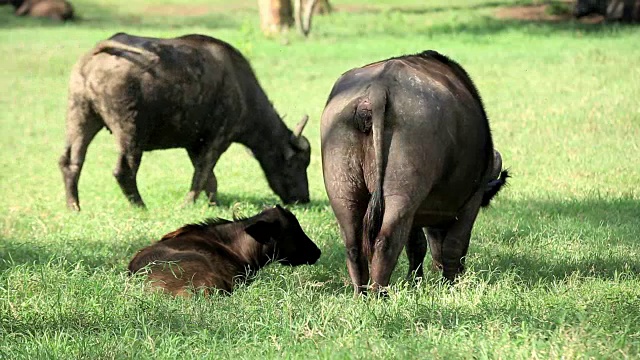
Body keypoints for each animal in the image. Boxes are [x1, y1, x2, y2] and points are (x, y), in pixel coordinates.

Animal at [58, 33, 312, 211]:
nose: (304, 199)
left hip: (80, 115)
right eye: (298, 164)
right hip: (130, 129)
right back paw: (141, 206)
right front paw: (188, 203)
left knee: (70, 161)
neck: (243, 90)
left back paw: (74, 207)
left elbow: (209, 177)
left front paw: (213, 203)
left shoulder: (194, 144)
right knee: (124, 170)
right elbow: (203, 172)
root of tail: (98, 52)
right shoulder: (219, 138)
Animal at [320, 50, 510, 296]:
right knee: (386, 240)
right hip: (402, 193)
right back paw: (379, 294)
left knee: (353, 244)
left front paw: (415, 281)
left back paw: (361, 293)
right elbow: (453, 245)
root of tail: (377, 90)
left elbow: (417, 245)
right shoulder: (472, 200)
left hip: (343, 190)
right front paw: (449, 283)